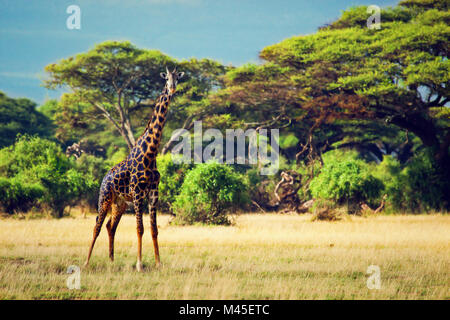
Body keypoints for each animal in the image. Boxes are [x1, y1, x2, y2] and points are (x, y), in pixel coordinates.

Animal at [84, 66, 185, 272]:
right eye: (166, 78)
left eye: (177, 78)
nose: (172, 88)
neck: (151, 153)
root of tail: (104, 178)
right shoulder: (138, 192)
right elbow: (140, 228)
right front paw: (139, 264)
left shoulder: (153, 193)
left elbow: (154, 229)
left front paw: (158, 263)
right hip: (105, 197)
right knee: (97, 226)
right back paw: (86, 262)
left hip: (120, 203)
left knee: (110, 226)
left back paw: (111, 261)